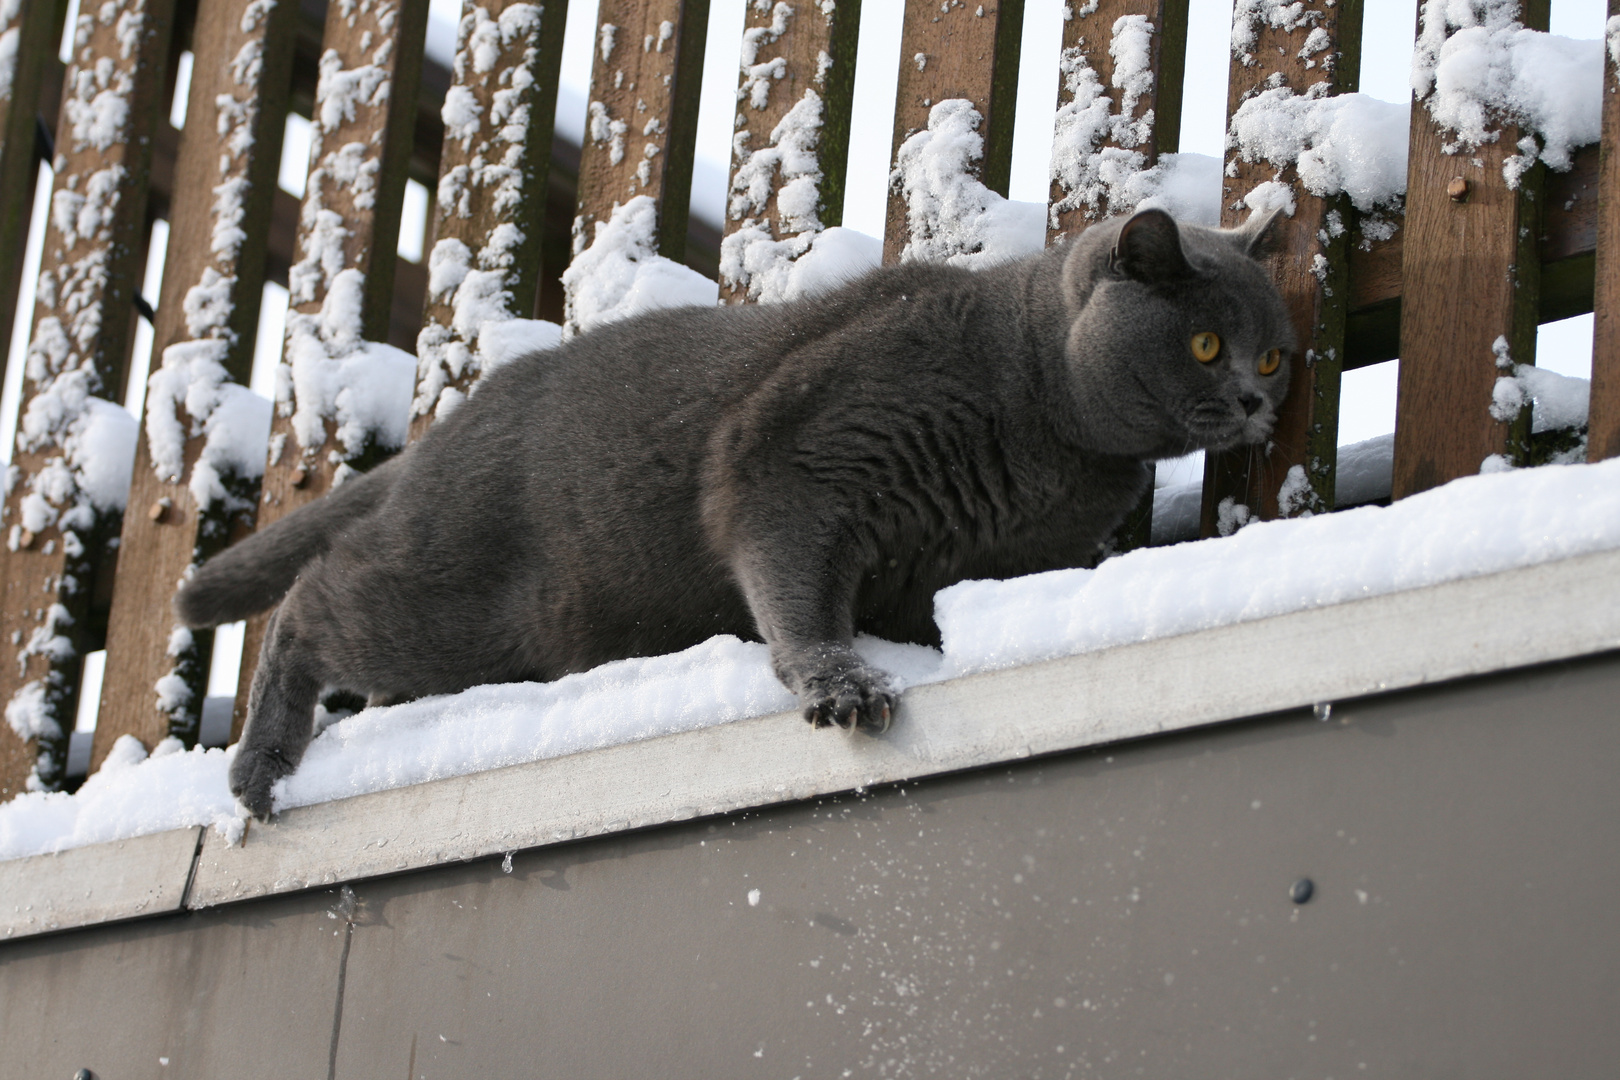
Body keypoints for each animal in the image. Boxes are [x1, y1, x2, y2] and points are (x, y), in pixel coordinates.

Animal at [177, 208, 1289, 819]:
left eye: (1274, 353)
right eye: (1203, 345)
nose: (1254, 401)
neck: (1044, 417)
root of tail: (440, 436)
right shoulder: (787, 461)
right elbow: (793, 583)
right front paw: (843, 681)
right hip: (460, 601)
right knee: (314, 600)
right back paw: (260, 766)